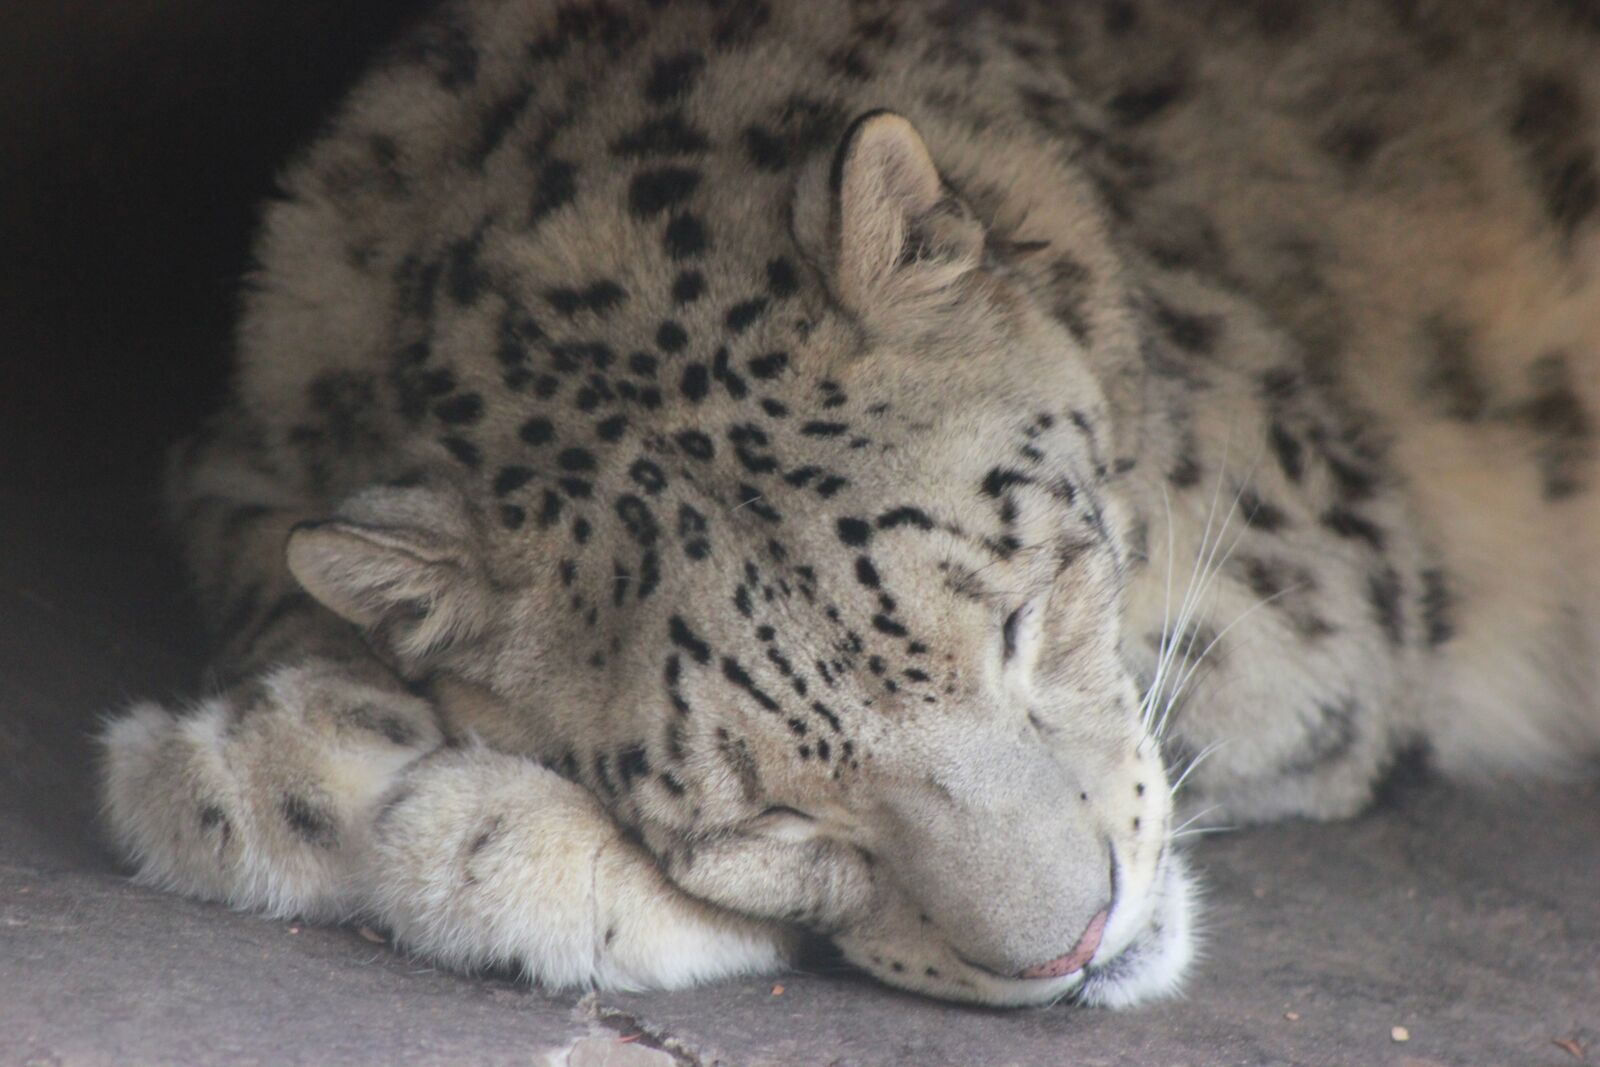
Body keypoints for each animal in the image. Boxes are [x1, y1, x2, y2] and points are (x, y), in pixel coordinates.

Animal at [97, 0, 1600, 1009]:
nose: (1074, 943)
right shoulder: (241, 429)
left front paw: (479, 834)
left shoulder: (1307, 607)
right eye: (770, 816)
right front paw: (277, 761)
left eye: (1024, 612)